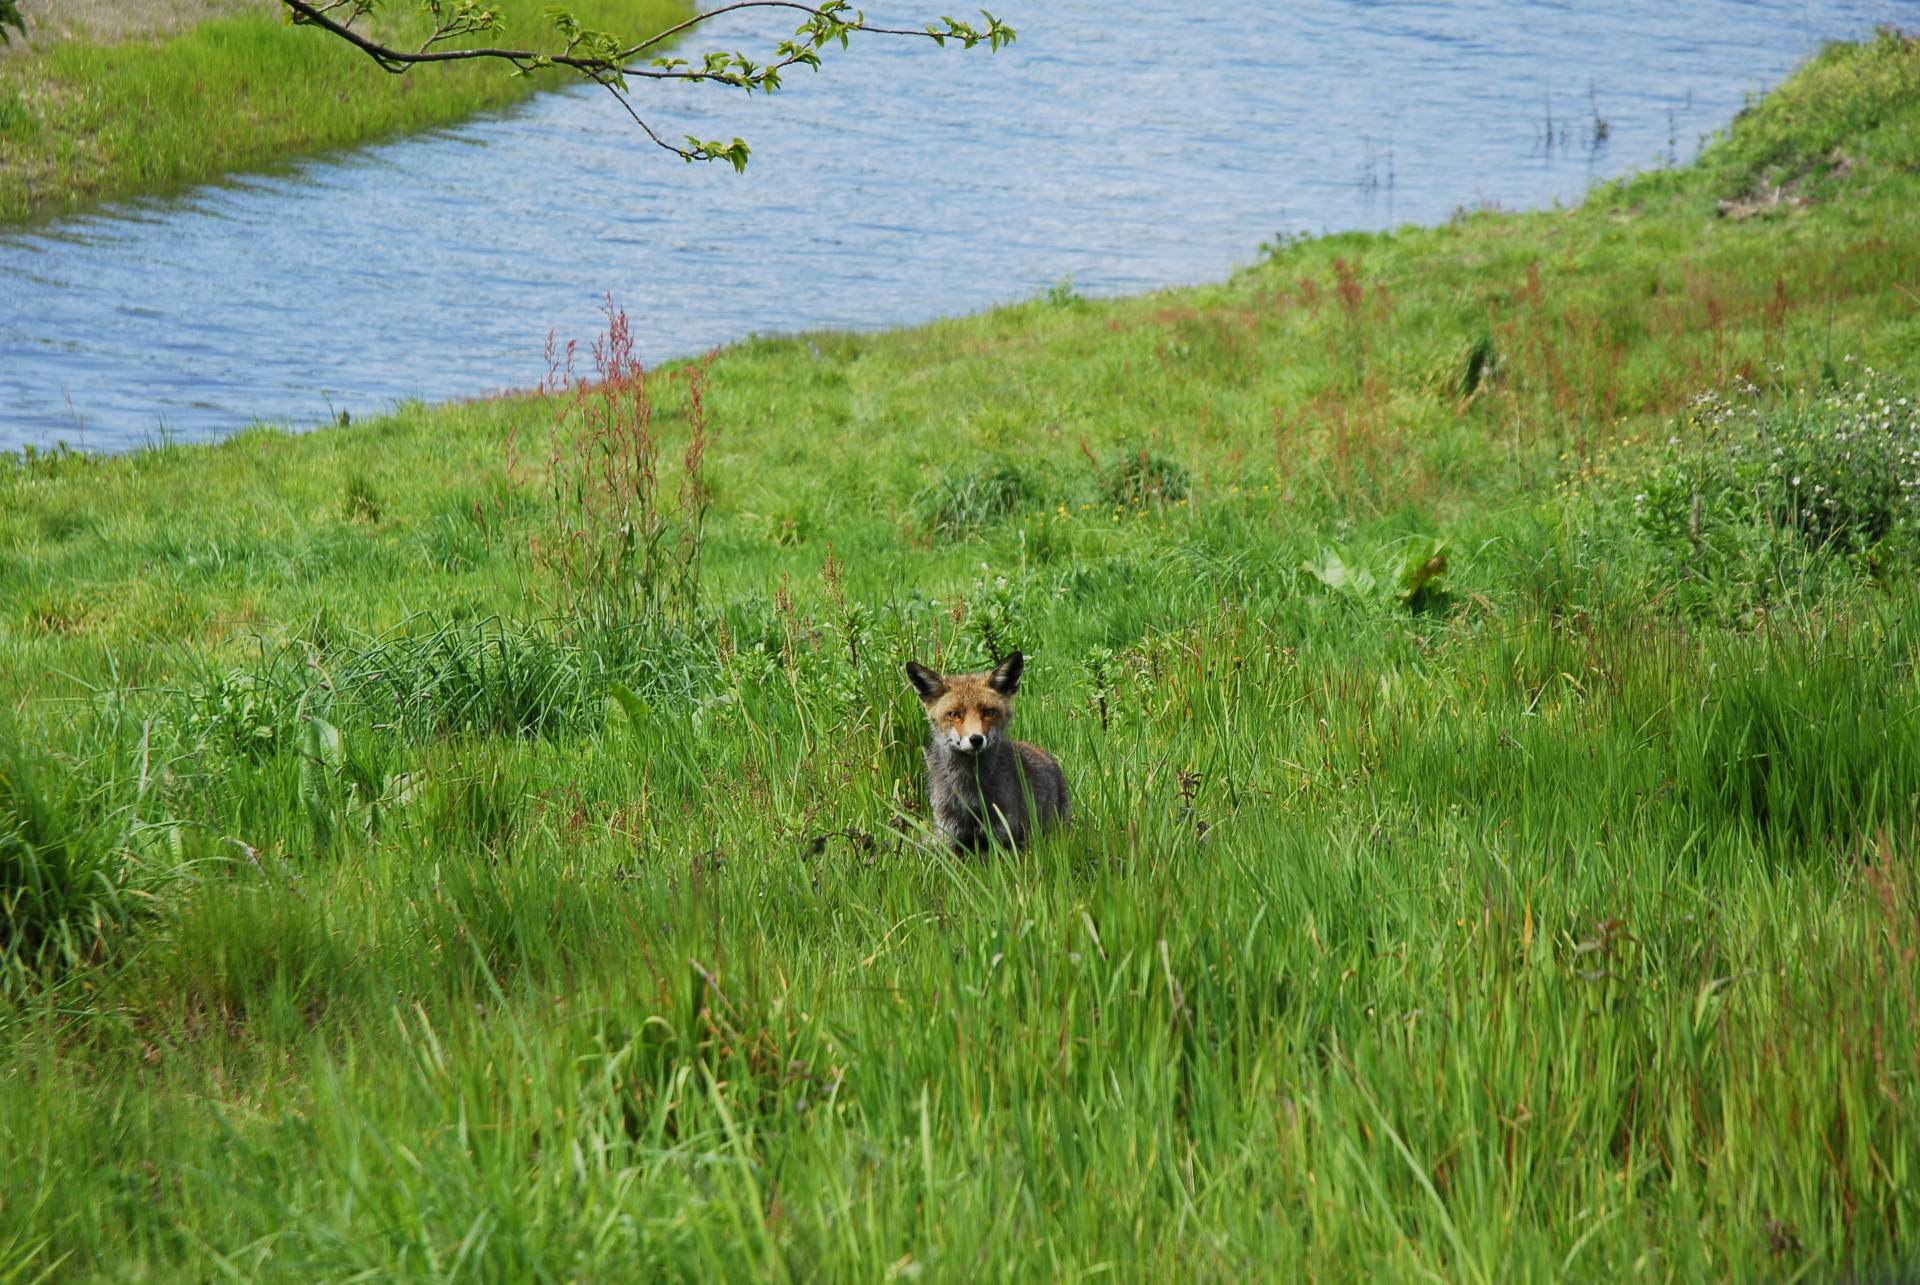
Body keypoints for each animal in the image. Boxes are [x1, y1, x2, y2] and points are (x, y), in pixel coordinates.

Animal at [906, 653, 1075, 852]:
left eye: (989, 712)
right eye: (954, 714)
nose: (976, 739)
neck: (970, 794)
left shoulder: (1003, 837)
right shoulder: (950, 837)